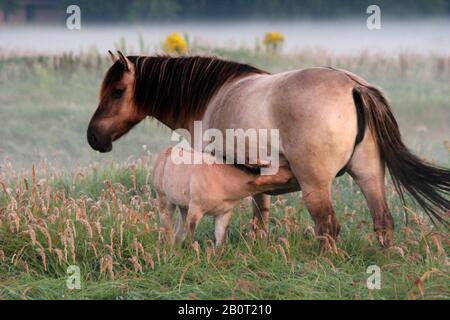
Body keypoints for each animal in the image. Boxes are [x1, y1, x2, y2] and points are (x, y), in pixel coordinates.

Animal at [88, 50, 450, 248]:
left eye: (117, 91)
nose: (94, 137)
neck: (211, 96)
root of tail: (354, 87)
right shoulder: (255, 175)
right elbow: (260, 215)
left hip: (316, 185)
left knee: (328, 227)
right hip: (369, 174)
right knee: (382, 222)